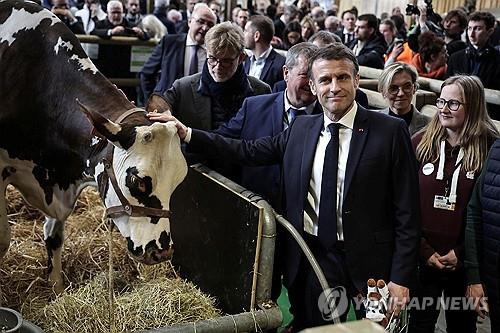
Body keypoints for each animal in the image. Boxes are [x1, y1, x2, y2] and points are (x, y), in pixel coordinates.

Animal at [0, 0, 188, 292]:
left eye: (178, 181)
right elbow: (3, 240)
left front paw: (56, 287)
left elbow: (54, 236)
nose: (161, 251)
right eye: (138, 181)